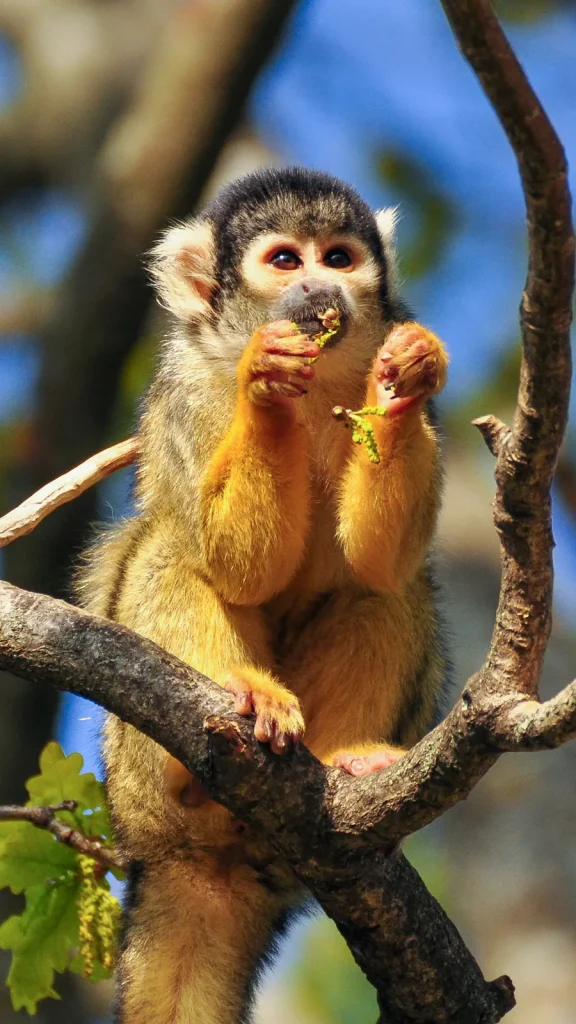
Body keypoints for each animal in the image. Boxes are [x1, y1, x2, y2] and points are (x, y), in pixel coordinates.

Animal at [76, 166, 449, 1024]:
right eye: (285, 260)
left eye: (339, 256)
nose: (321, 289)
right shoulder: (184, 382)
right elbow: (237, 562)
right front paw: (265, 383)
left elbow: (377, 562)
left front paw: (405, 382)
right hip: (131, 779)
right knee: (169, 547)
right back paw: (229, 714)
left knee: (387, 590)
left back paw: (350, 764)